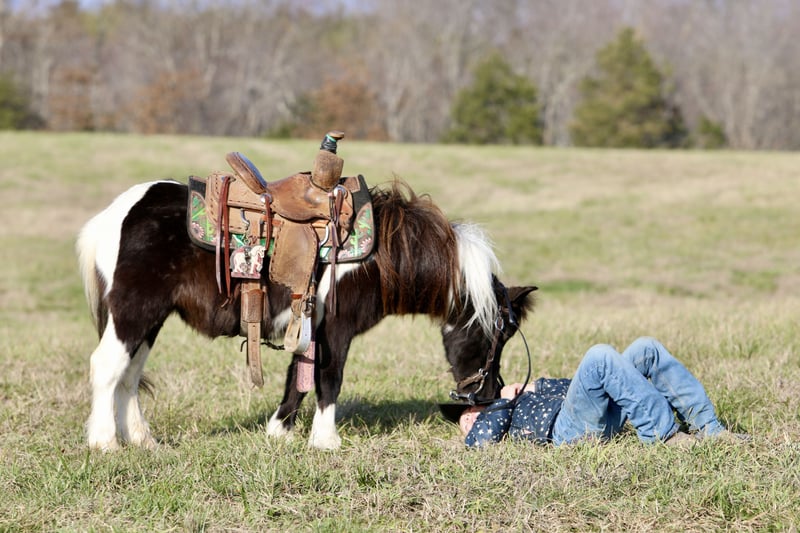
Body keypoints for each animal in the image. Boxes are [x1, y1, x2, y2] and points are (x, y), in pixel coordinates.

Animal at [77, 177, 536, 450]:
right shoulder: (335, 330)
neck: (380, 258)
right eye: (496, 334)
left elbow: (297, 379)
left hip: (150, 319)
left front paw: (280, 431)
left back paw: (141, 440)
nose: (489, 395)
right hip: (133, 312)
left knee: (129, 376)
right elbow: (328, 380)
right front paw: (326, 440)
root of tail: (112, 216)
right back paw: (104, 443)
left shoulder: (309, 327)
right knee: (107, 367)